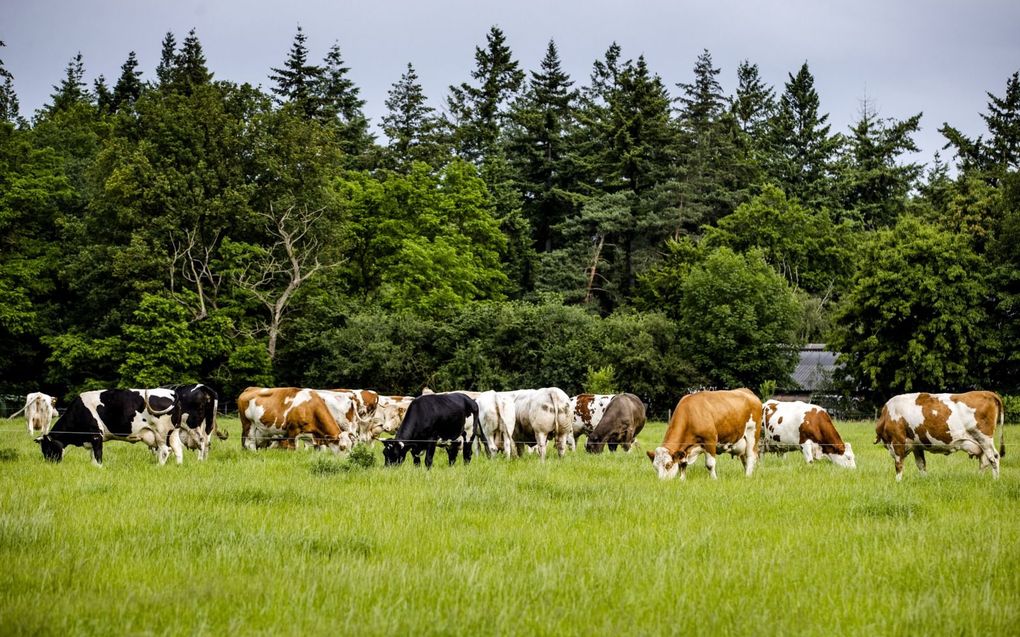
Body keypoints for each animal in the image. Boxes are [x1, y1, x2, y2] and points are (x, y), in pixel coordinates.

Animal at [35, 385, 183, 464]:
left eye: (47, 448)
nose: (50, 464)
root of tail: (171, 392)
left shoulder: (96, 435)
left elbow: (98, 454)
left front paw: (99, 467)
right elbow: (93, 455)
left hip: (161, 433)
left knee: (165, 450)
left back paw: (159, 466)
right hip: (173, 432)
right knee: (178, 450)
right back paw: (178, 466)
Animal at [873, 389, 1007, 479]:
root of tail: (988, 393)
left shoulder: (897, 441)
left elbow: (899, 464)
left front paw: (898, 482)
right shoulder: (917, 444)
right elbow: (921, 464)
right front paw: (924, 480)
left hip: (984, 438)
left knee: (994, 457)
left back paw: (995, 480)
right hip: (980, 442)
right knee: (984, 461)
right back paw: (979, 478)